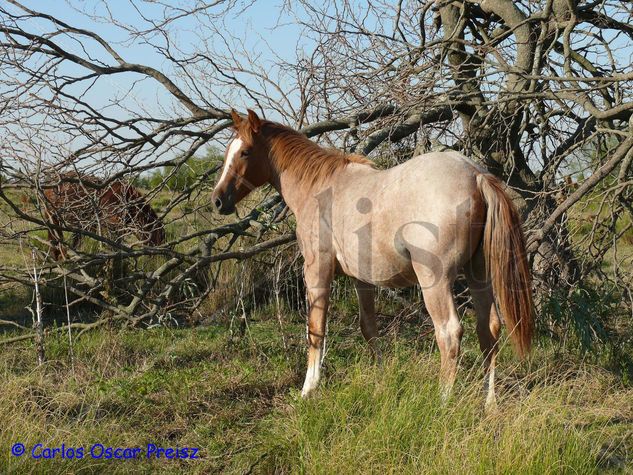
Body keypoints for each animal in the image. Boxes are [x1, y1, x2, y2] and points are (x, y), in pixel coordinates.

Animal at [212, 109, 532, 410]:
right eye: (229, 150)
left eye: (245, 151)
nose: (217, 200)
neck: (319, 187)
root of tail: (475, 175)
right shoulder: (360, 278)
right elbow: (369, 328)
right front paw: (381, 378)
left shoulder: (316, 271)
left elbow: (316, 329)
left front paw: (308, 389)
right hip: (478, 274)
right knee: (488, 328)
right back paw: (489, 402)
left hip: (436, 281)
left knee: (450, 332)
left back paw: (442, 401)